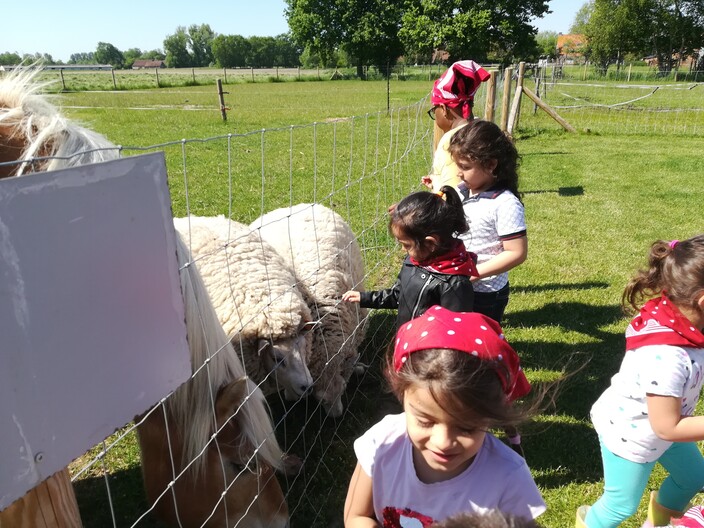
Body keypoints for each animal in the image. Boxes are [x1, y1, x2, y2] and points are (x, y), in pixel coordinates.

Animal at [249, 203, 368, 416]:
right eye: (319, 399)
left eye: (343, 389)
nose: (337, 416)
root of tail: (289, 207)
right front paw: (290, 395)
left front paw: (357, 368)